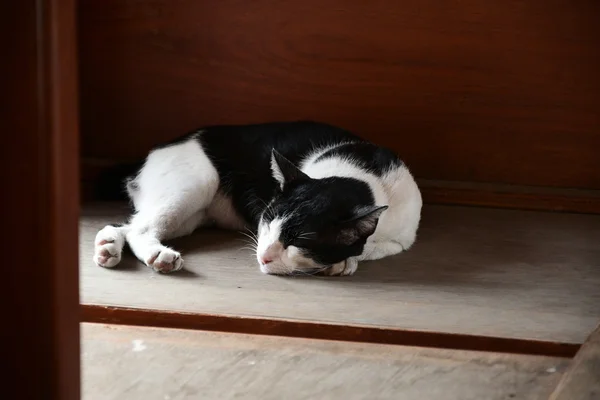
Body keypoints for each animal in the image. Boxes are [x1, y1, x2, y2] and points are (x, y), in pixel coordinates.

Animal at [94, 120, 422, 276]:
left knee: (129, 224)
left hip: (189, 216)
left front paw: (342, 260)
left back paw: (107, 246)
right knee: (140, 228)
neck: (360, 175)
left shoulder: (400, 240)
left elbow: (371, 247)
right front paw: (341, 263)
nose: (263, 256)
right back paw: (156, 255)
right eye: (267, 222)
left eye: (299, 242)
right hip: (197, 183)